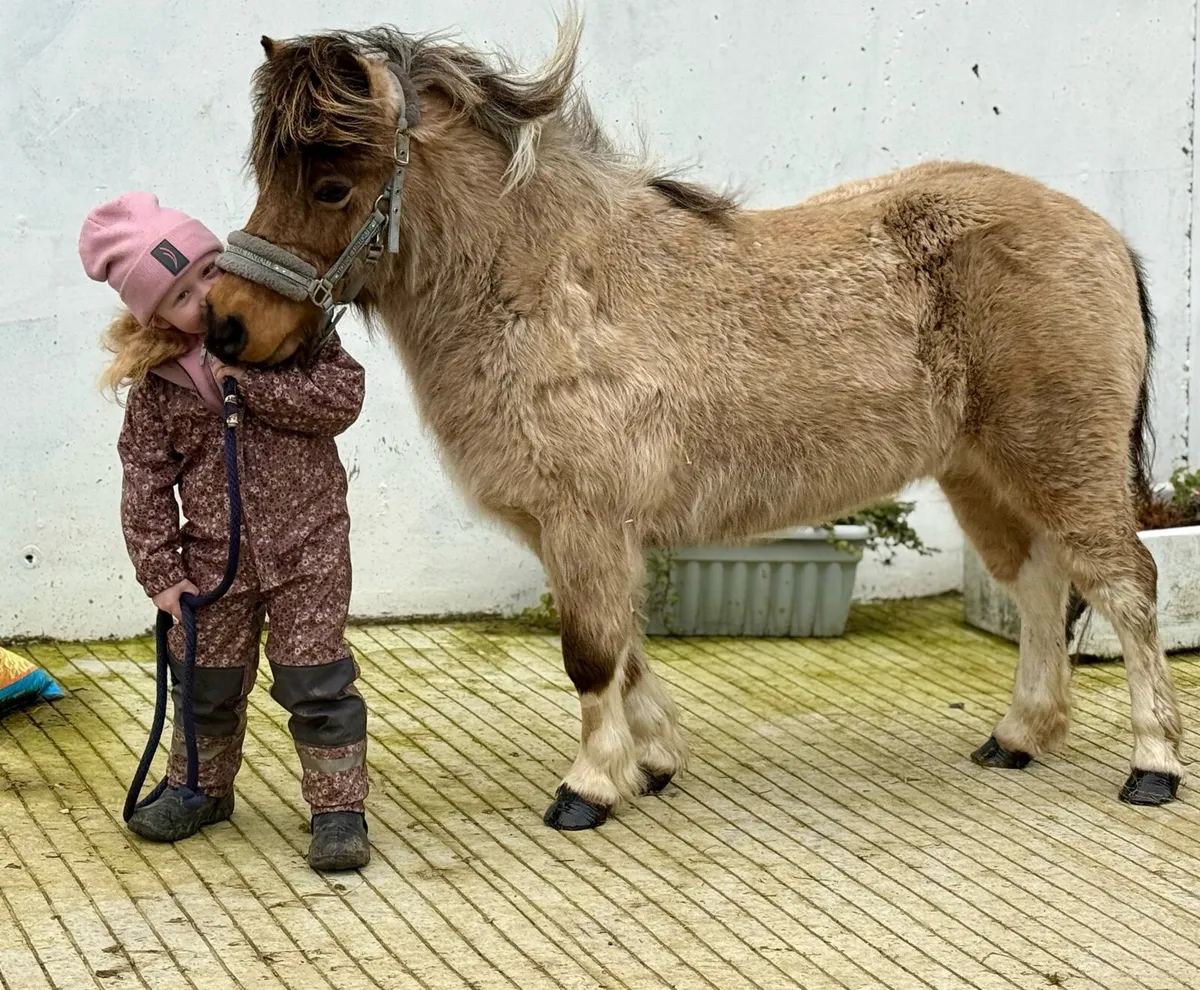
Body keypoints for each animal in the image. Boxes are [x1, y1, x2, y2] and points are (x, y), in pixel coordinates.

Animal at [204, 9, 1185, 830]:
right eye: (268, 172)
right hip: (981, 471)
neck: (551, 288)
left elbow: (591, 655)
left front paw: (590, 788)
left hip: (1062, 459)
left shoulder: (585, 521)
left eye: (333, 186)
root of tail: (1101, 233)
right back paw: (1019, 737)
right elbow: (626, 649)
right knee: (1040, 586)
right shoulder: (586, 530)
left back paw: (1153, 765)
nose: (225, 324)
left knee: (1125, 587)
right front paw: (654, 762)